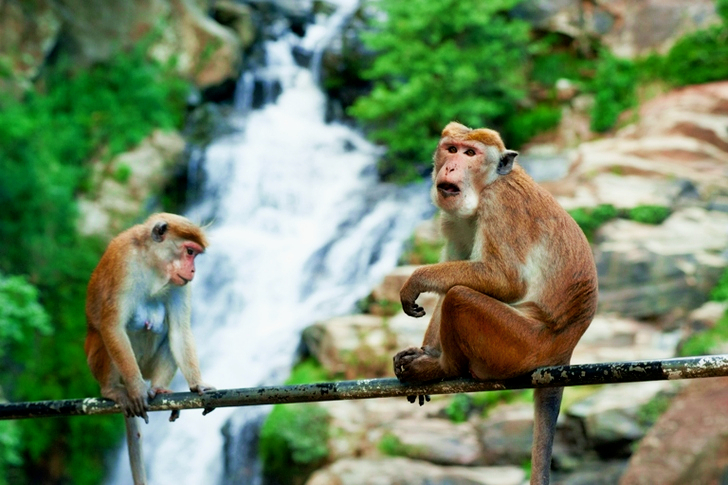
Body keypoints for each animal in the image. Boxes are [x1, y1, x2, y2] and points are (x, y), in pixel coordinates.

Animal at [84, 212, 216, 485]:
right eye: (189, 251)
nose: (193, 270)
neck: (152, 264)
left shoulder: (179, 283)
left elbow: (179, 332)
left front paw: (199, 384)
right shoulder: (124, 263)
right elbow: (112, 326)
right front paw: (136, 391)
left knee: (168, 335)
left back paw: (158, 388)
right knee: (104, 334)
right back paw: (114, 389)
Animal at [393, 122, 598, 485]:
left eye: (470, 153)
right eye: (451, 149)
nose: (451, 167)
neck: (486, 185)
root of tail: (564, 351)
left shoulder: (500, 204)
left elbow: (504, 279)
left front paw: (416, 280)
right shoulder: (454, 219)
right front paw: (424, 350)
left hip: (520, 345)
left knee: (460, 298)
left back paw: (443, 368)